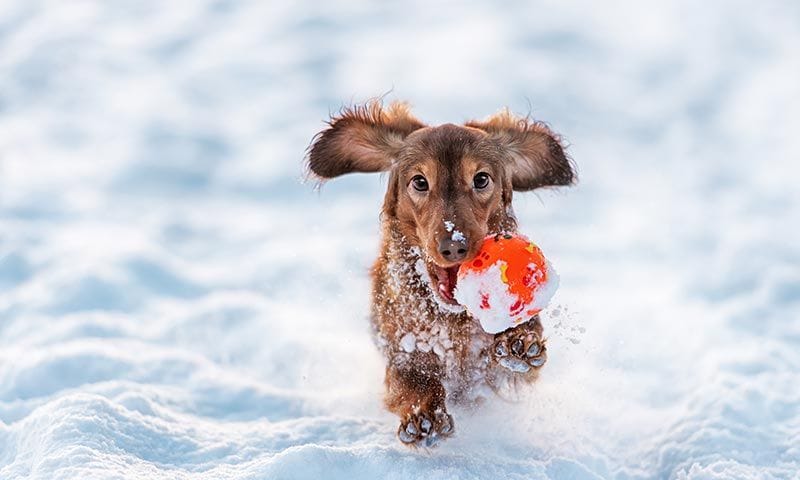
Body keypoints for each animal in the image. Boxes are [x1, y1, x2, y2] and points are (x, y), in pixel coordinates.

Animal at [306, 100, 576, 446]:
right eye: (420, 182)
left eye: (481, 179)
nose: (454, 246)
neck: (452, 319)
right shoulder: (403, 344)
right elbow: (412, 377)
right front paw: (424, 415)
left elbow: (521, 350)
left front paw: (519, 340)